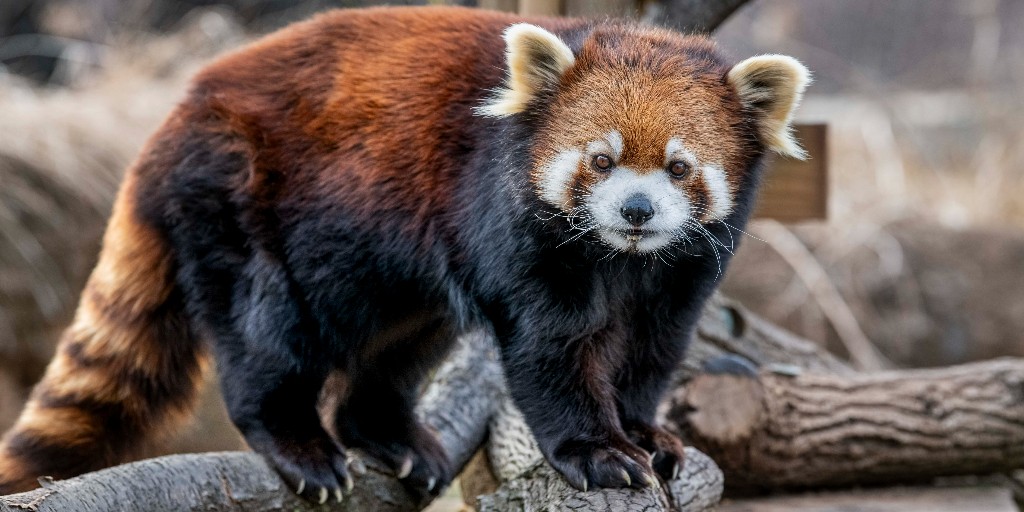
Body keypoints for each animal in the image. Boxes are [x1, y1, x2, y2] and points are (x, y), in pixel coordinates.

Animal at [0, 4, 806, 503]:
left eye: (678, 166)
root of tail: (175, 115)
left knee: (402, 344)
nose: (635, 210)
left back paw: (389, 436)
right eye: (601, 161)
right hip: (237, 195)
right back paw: (297, 442)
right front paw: (598, 450)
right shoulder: (511, 221)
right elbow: (552, 348)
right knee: (264, 333)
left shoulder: (680, 270)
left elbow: (651, 346)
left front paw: (645, 431)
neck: (619, 255)